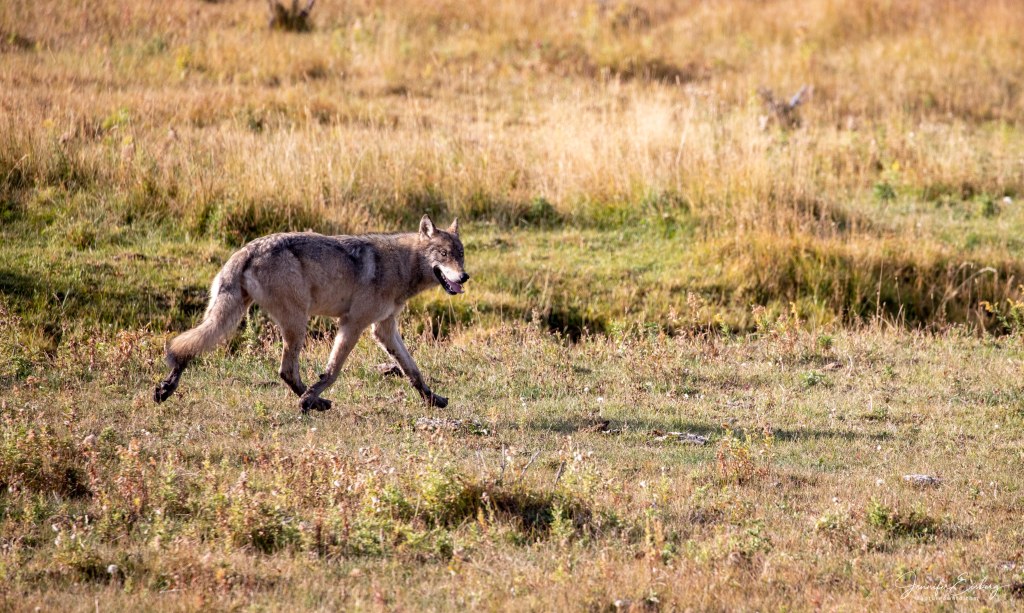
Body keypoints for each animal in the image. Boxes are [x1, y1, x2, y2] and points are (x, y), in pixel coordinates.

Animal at [153, 215, 469, 413]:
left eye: (461, 254)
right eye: (443, 254)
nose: (465, 276)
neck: (400, 265)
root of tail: (247, 250)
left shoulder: (384, 329)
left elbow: (412, 369)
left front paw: (433, 399)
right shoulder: (352, 324)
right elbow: (332, 371)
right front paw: (309, 399)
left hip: (229, 317)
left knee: (189, 344)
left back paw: (167, 386)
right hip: (296, 324)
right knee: (286, 370)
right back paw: (314, 403)